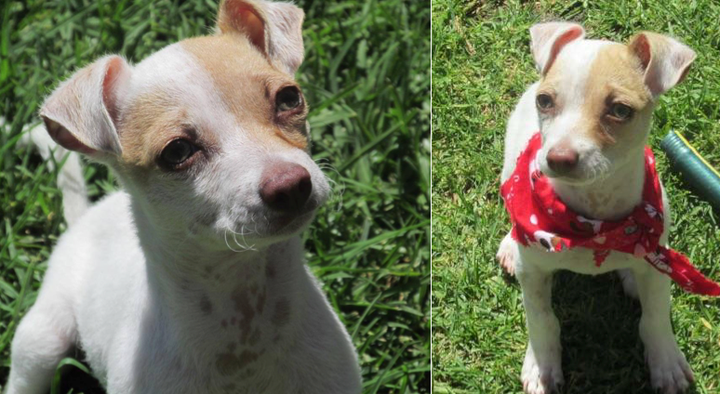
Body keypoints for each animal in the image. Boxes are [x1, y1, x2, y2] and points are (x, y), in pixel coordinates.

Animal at [496, 23, 704, 394]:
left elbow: (655, 316)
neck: (594, 226)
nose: (559, 158)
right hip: (509, 166)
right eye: (545, 101)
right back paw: (510, 243)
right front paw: (541, 367)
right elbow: (541, 318)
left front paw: (666, 363)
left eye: (620, 110)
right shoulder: (533, 273)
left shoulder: (657, 261)